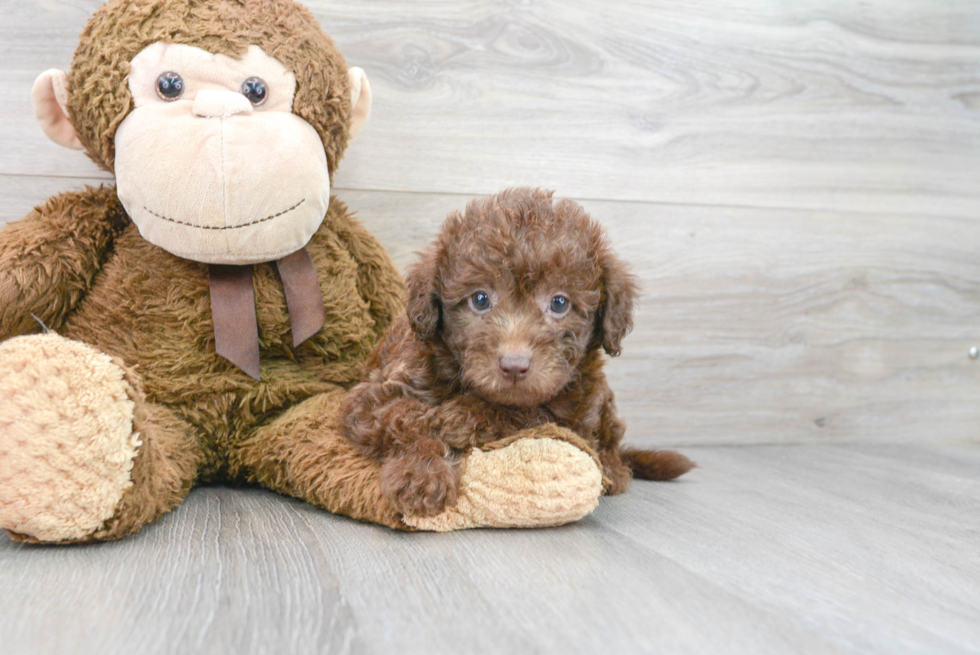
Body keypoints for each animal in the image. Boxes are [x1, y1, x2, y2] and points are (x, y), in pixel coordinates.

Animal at [340, 188, 692, 516]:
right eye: (480, 299)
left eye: (559, 303)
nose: (514, 366)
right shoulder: (374, 395)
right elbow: (405, 417)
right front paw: (421, 475)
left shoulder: (575, 413)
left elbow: (533, 412)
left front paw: (462, 417)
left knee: (611, 442)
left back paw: (614, 470)